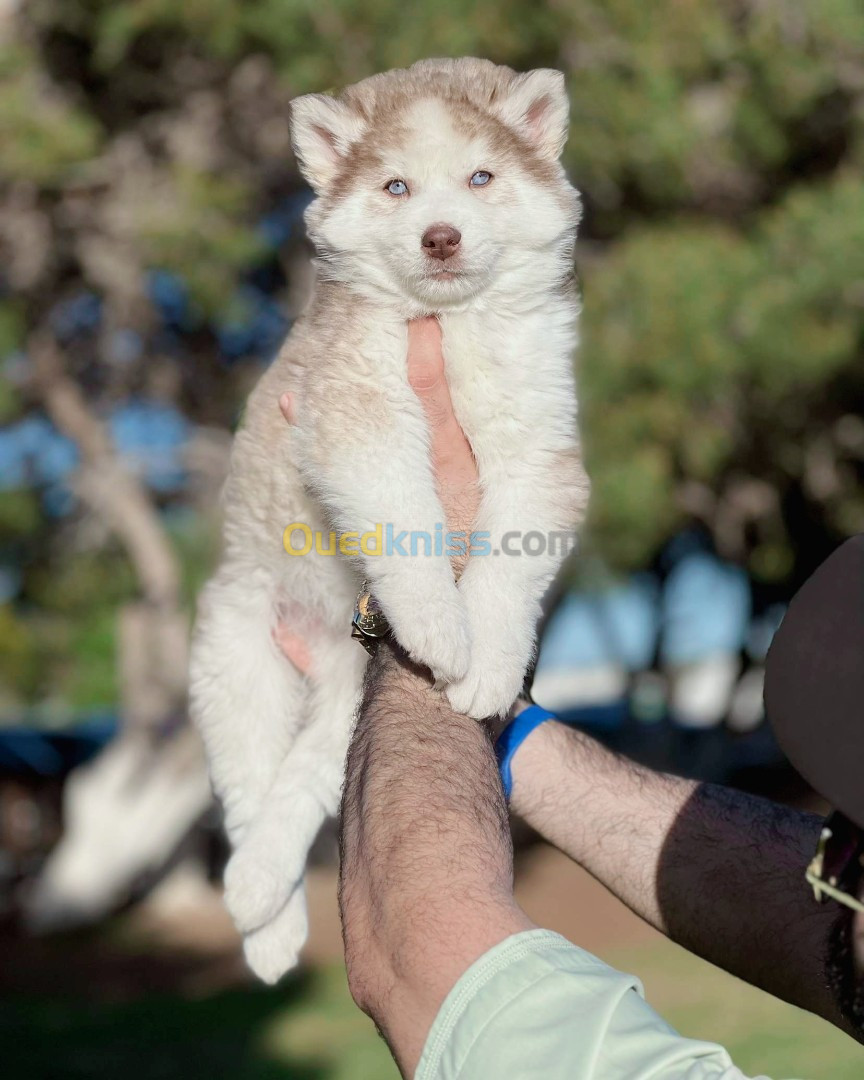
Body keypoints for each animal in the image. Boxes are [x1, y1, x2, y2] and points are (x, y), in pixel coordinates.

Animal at [191, 61, 587, 989]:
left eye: (481, 177)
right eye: (395, 187)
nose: (440, 237)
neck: (455, 324)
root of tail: (327, 655)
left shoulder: (542, 449)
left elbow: (508, 564)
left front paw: (487, 661)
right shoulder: (356, 411)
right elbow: (407, 513)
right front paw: (441, 623)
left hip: (342, 707)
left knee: (306, 776)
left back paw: (267, 910)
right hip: (235, 659)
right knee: (249, 782)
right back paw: (260, 910)